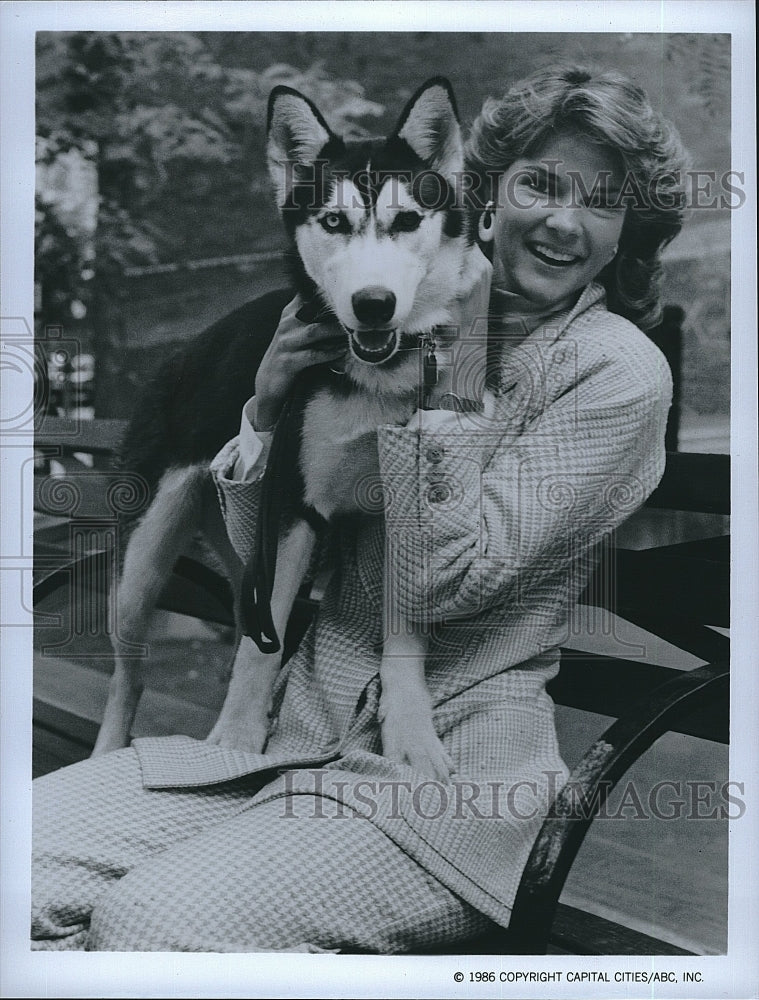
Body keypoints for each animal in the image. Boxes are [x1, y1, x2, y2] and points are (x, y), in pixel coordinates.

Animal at [95, 78, 480, 780]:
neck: (371, 376)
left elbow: (403, 640)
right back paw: (111, 744)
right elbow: (259, 645)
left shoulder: (408, 516)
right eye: (333, 222)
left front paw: (412, 736)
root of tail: (177, 353)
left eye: (408, 221)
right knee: (129, 672)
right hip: (140, 574)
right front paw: (234, 742)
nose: (373, 304)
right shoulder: (293, 507)